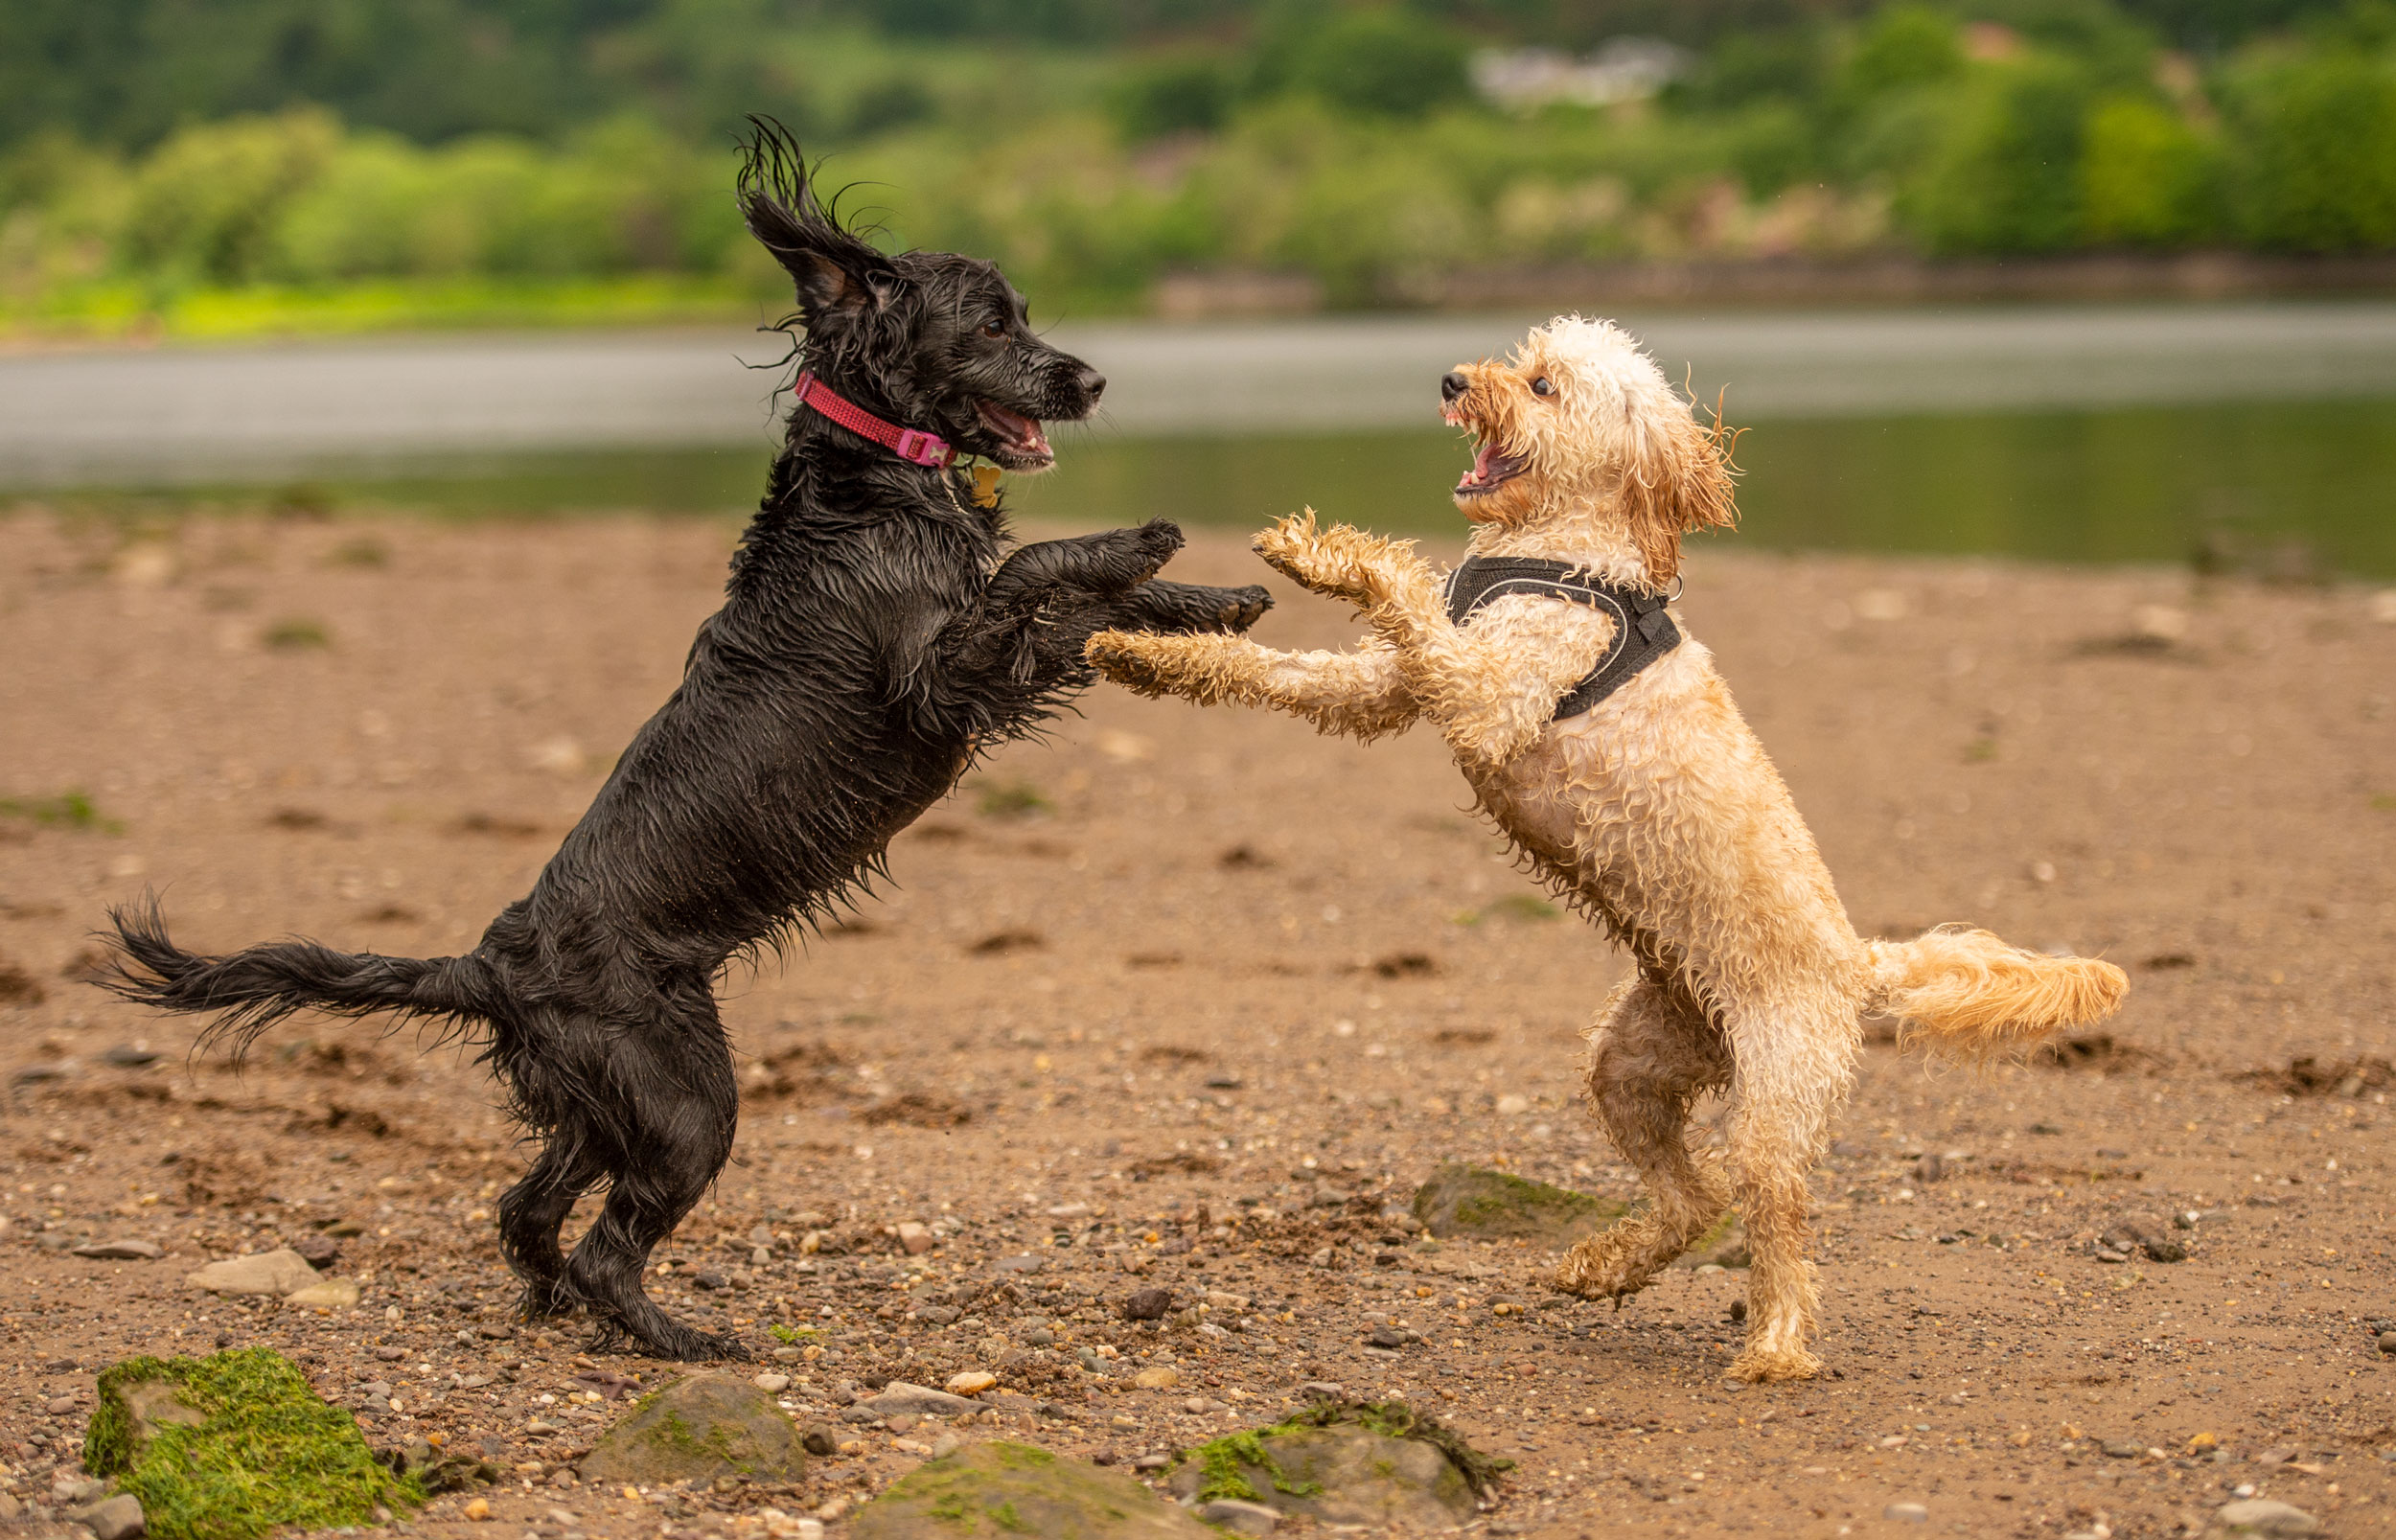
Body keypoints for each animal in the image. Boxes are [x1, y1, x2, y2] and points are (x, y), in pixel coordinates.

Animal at [98, 126, 1275, 1369]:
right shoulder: (939, 679)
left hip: (603, 1099)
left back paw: (552, 1300)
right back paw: (682, 1337)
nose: (1092, 380)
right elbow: (1037, 573)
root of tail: (490, 965)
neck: (875, 482)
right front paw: (1141, 536)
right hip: (683, 1098)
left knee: (526, 1206)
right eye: (992, 324)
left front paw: (1222, 599)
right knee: (606, 1244)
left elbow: (1095, 608)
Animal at [1097, 313, 2128, 1389]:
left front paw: (1320, 552)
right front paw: (1148, 653)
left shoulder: (1487, 694)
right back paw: (1604, 1266)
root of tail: (1856, 962)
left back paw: (1774, 1346)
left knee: (1774, 1215)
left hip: (1776, 1096)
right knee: (1693, 1197)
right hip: (1631, 1064)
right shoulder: (1392, 686)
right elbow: (1283, 670)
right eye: (1517, 358)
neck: (1564, 553)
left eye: (1543, 386)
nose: (1453, 377)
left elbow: (1402, 588)